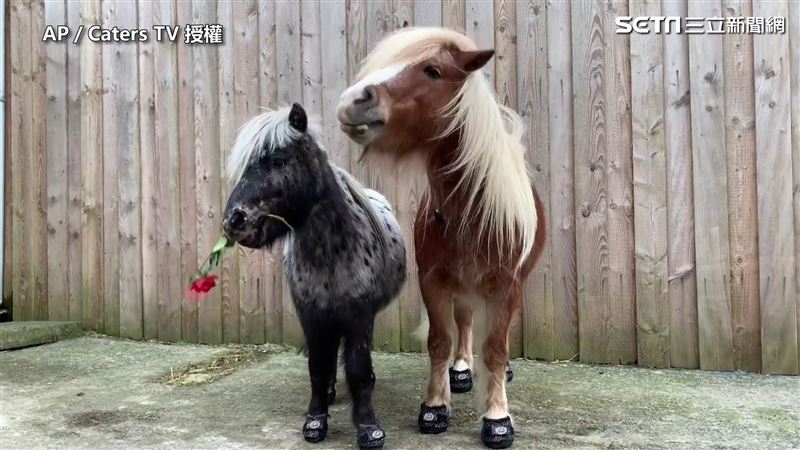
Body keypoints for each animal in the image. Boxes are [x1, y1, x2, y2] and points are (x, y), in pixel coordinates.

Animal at [222, 103, 406, 449]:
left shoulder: (359, 316)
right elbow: (318, 367)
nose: (234, 220)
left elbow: (359, 368)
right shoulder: (311, 315)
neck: (331, 254)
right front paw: (315, 420)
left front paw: (369, 428)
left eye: (278, 161)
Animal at [337, 28, 545, 449]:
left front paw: (497, 417)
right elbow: (440, 341)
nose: (353, 101)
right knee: (464, 322)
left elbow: (496, 348)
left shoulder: (507, 285)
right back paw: (462, 369)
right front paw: (435, 406)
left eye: (432, 71)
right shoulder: (433, 280)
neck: (471, 212)